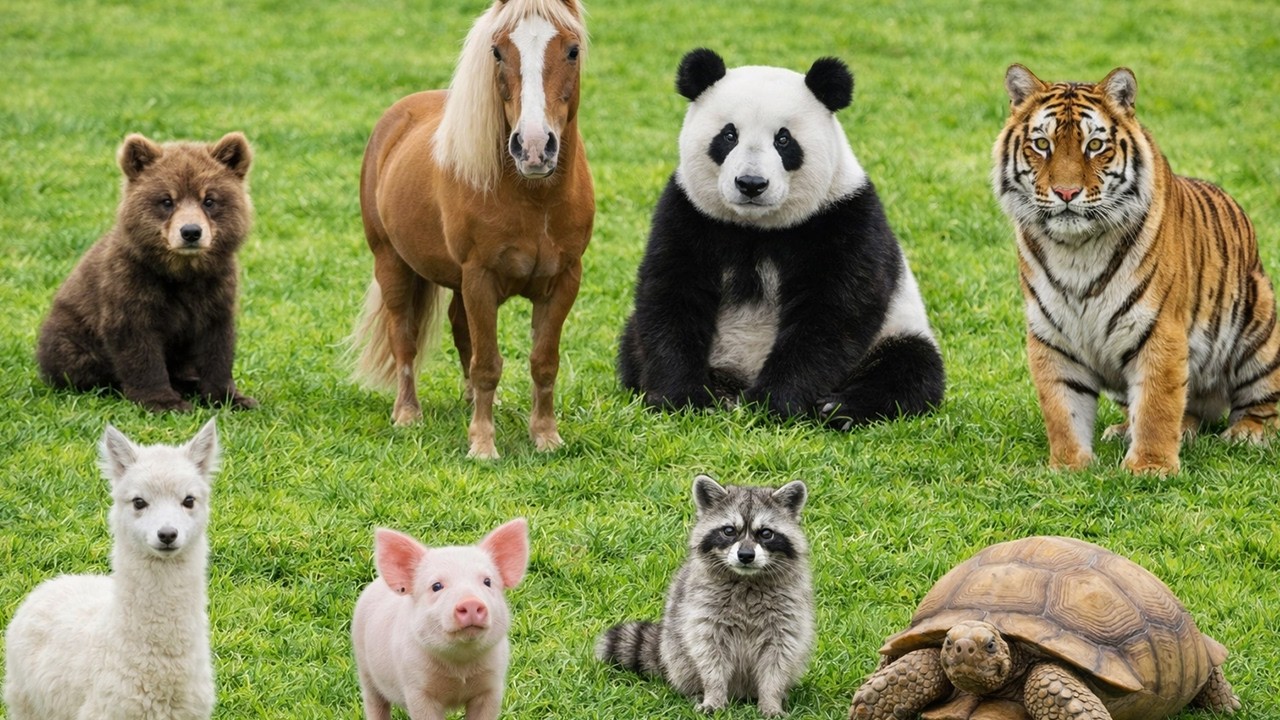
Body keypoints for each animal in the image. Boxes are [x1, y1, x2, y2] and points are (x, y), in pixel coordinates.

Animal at [352, 0, 593, 460]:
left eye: (572, 51)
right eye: (497, 52)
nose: (534, 148)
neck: (533, 199)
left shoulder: (563, 281)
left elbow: (543, 361)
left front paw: (546, 437)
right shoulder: (479, 277)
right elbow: (487, 364)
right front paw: (482, 445)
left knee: (460, 328)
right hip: (391, 263)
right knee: (403, 336)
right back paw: (407, 413)